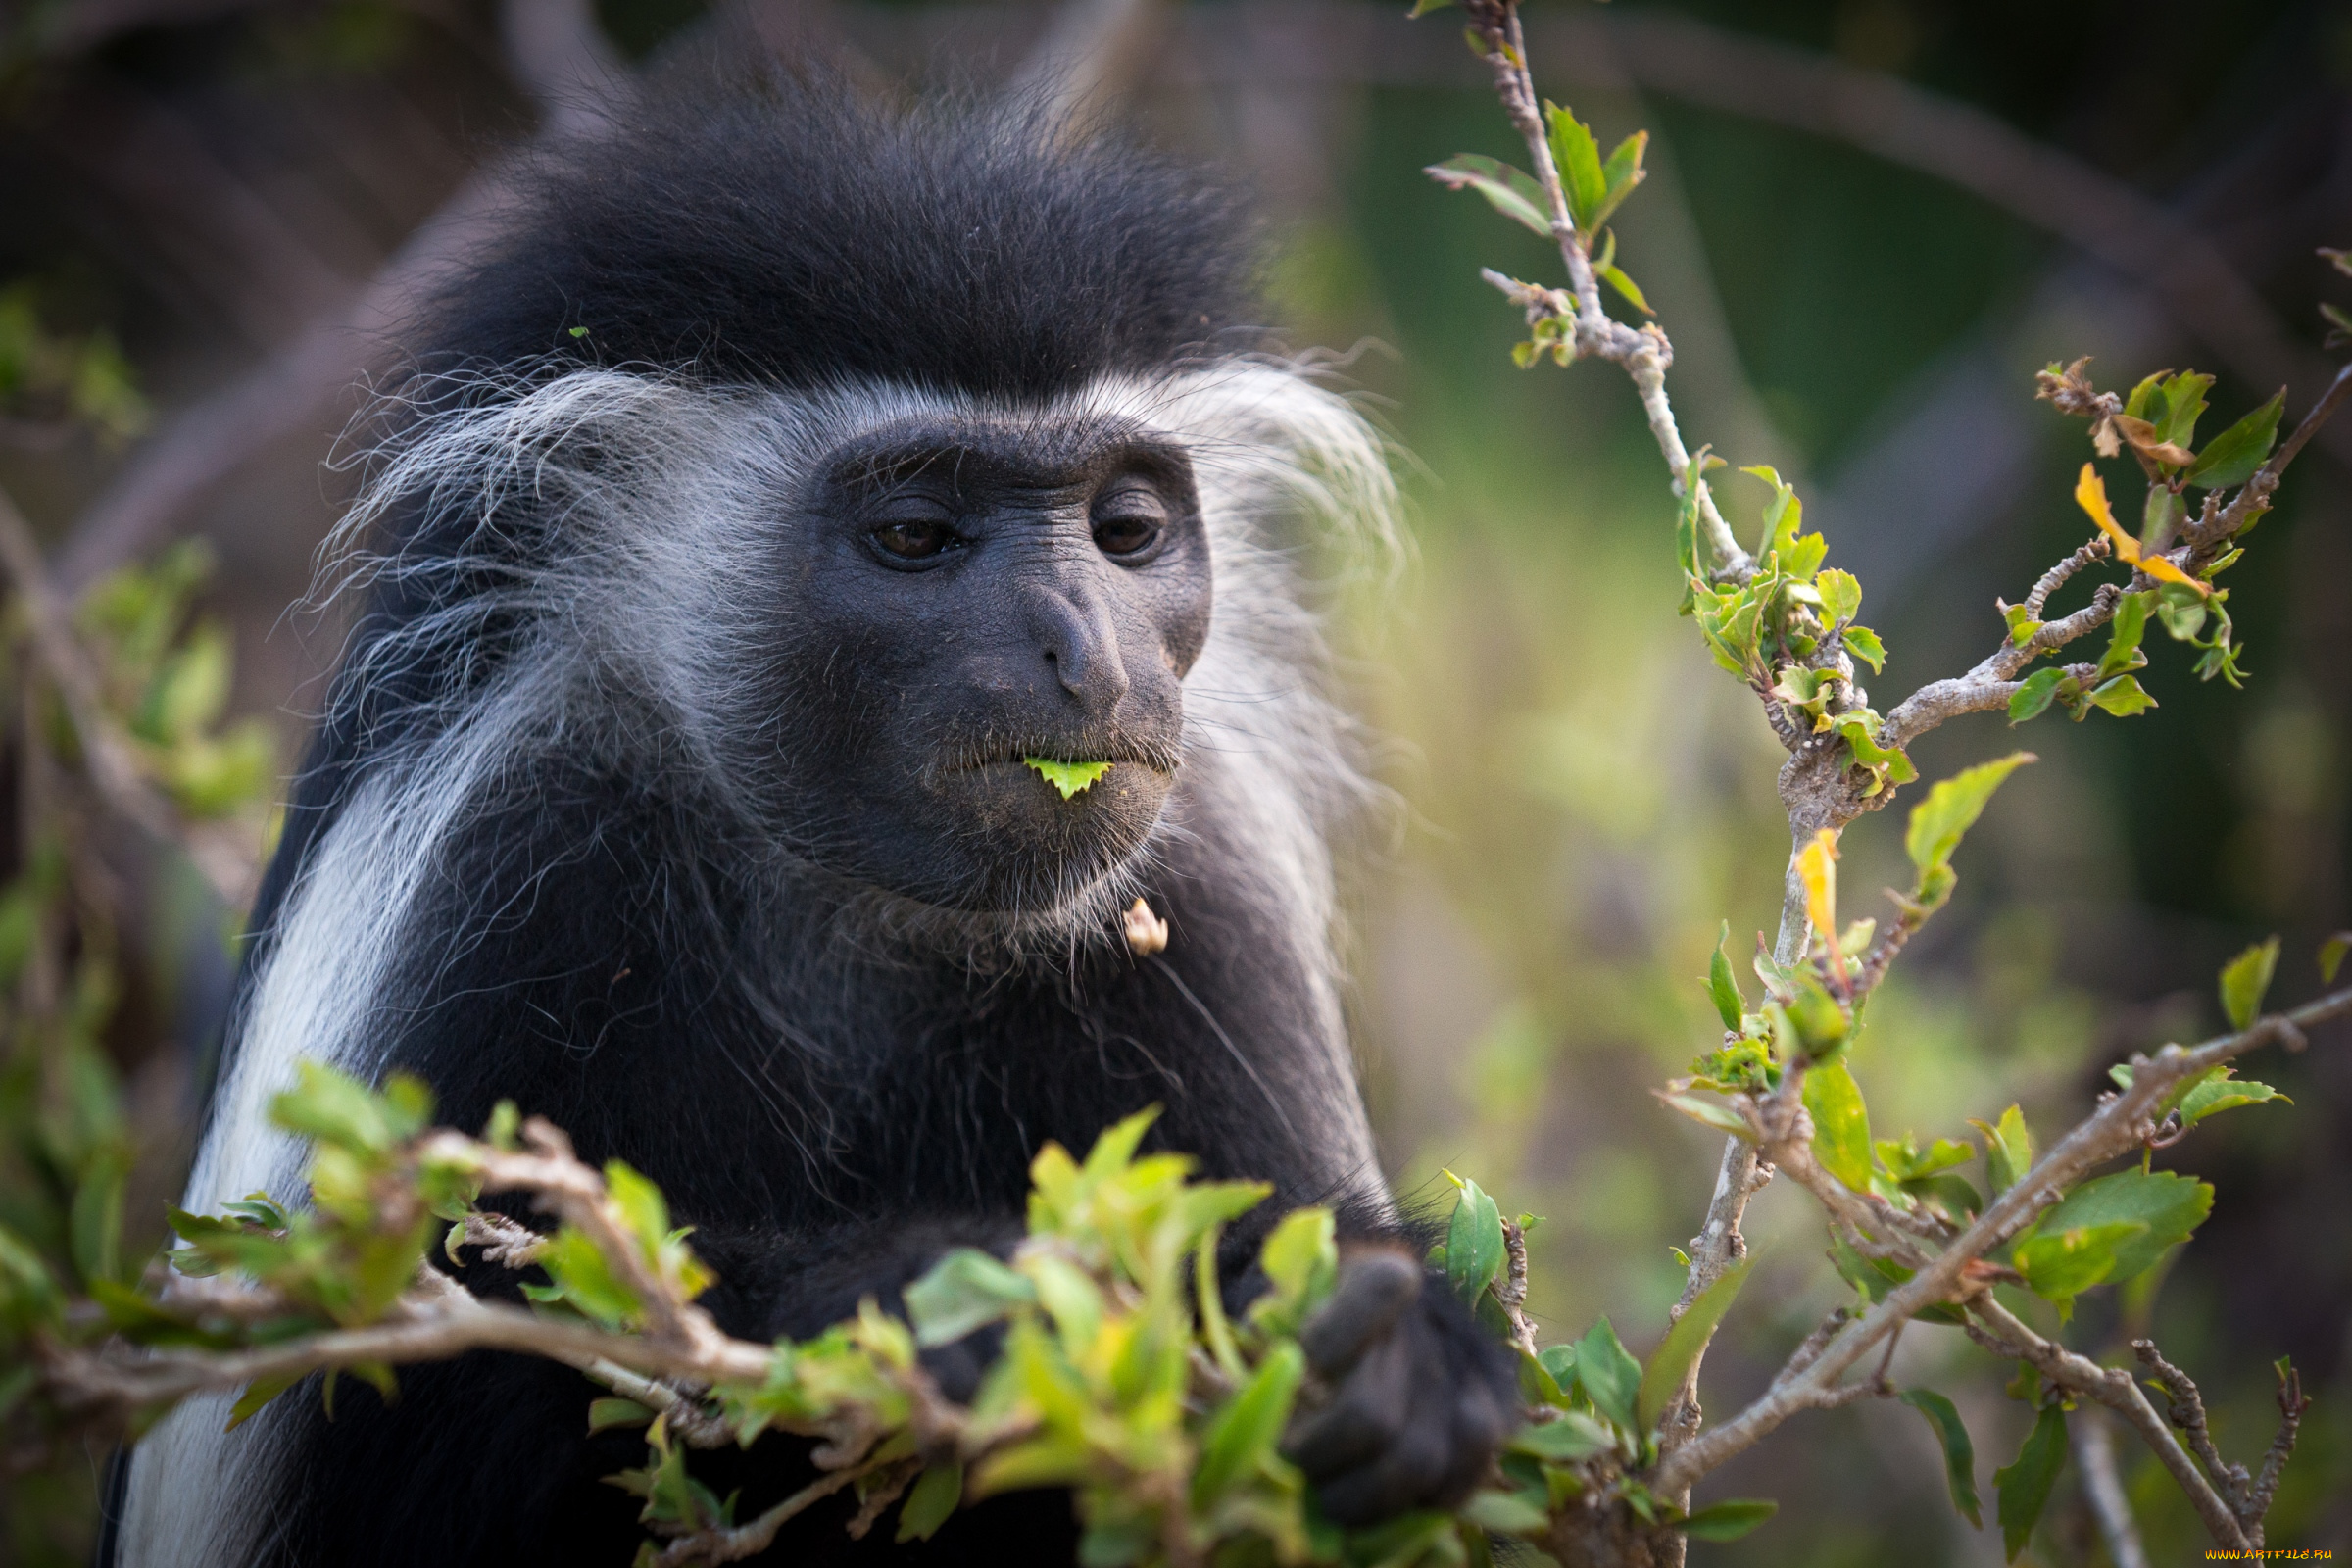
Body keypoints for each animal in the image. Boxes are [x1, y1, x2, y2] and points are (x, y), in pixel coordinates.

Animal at [110, 75, 1514, 1568]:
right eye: (915, 534)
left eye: (1125, 530)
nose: (1088, 652)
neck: (853, 910)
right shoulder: (492, 868)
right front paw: (905, 1306)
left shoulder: (1208, 904)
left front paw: (1398, 1359)